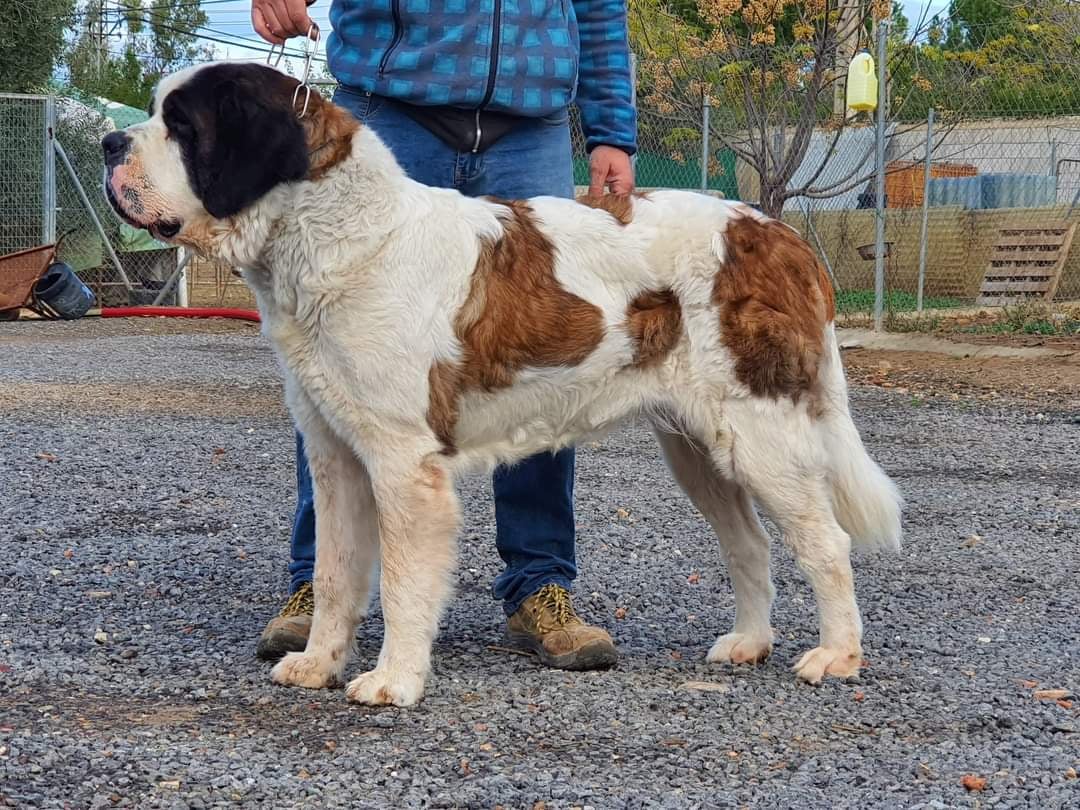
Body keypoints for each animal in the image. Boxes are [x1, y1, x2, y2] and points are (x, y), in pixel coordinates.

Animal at [102, 62, 902, 707]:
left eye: (182, 126)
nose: (110, 143)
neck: (336, 233)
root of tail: (775, 232)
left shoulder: (403, 465)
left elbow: (401, 581)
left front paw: (393, 681)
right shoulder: (336, 457)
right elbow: (334, 575)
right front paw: (318, 663)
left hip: (760, 434)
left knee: (825, 542)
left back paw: (837, 655)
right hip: (698, 449)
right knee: (750, 544)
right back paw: (748, 642)